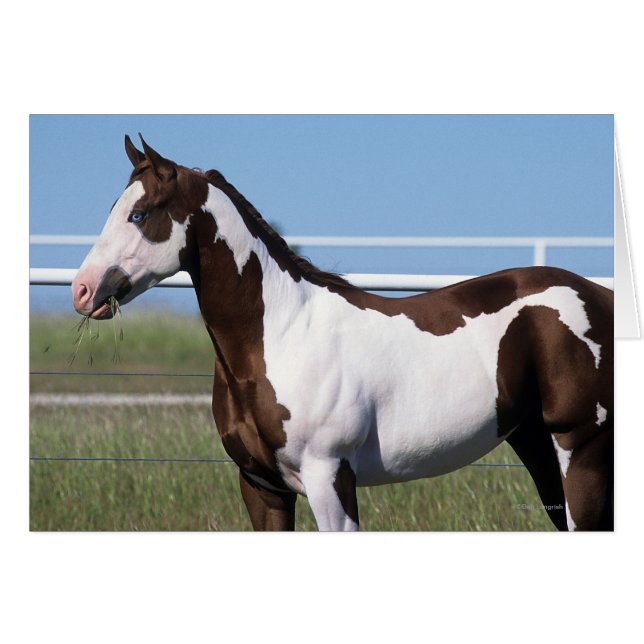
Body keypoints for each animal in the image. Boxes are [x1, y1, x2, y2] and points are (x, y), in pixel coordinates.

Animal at [71, 135, 614, 531]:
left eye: (139, 215)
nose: (83, 290)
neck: (280, 337)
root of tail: (598, 296)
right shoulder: (262, 486)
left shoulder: (329, 477)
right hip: (538, 447)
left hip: (581, 450)